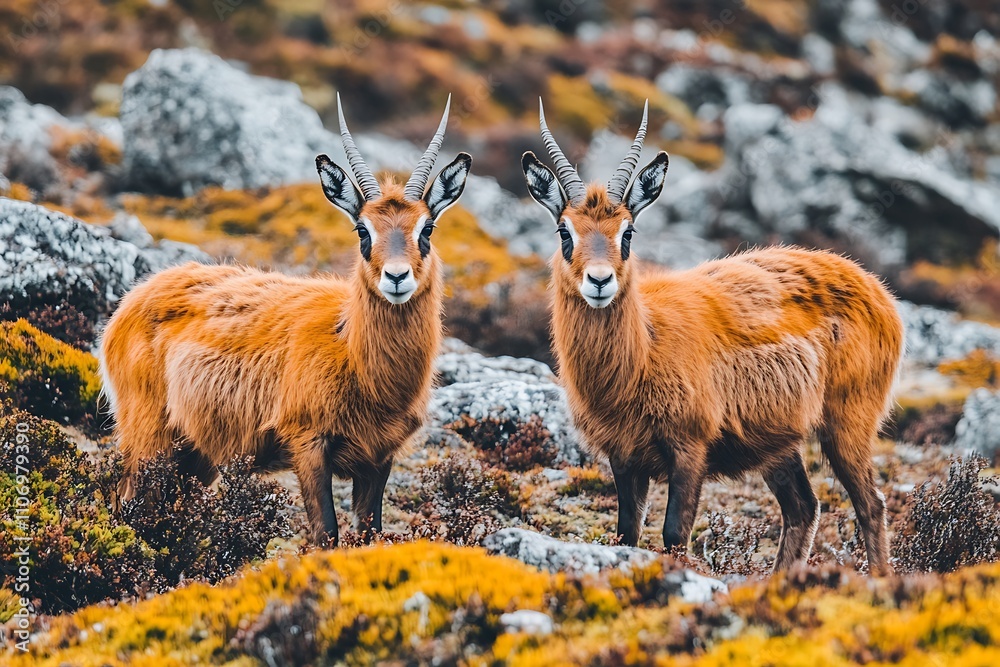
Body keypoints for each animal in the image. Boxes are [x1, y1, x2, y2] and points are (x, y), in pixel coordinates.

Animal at [100, 95, 472, 545]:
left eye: (427, 228)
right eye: (362, 230)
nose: (396, 277)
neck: (352, 351)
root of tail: (132, 302)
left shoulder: (379, 459)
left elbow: (369, 532)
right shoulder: (308, 447)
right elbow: (325, 532)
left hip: (195, 458)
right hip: (149, 442)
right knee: (127, 503)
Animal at [521, 100, 903, 575]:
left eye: (627, 231)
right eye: (564, 231)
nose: (599, 281)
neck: (643, 352)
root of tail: (876, 290)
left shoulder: (689, 450)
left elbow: (673, 535)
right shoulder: (624, 458)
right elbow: (627, 533)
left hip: (846, 429)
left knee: (870, 504)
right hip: (778, 445)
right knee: (803, 507)